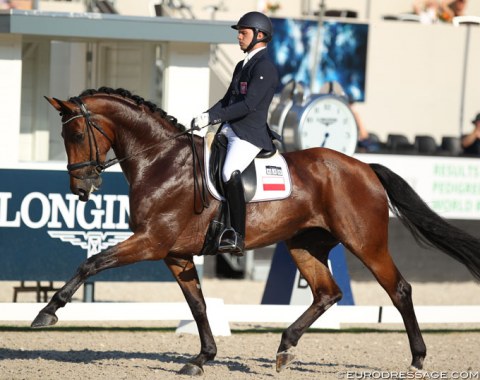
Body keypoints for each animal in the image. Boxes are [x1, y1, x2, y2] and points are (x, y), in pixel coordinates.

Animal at [34, 87, 480, 376]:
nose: (81, 188)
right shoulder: (175, 254)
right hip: (303, 245)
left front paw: (47, 312)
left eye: (77, 133)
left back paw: (418, 358)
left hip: (365, 242)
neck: (161, 162)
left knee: (399, 289)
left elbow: (91, 262)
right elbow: (198, 306)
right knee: (327, 293)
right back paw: (284, 348)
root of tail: (364, 167)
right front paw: (202, 357)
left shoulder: (150, 243)